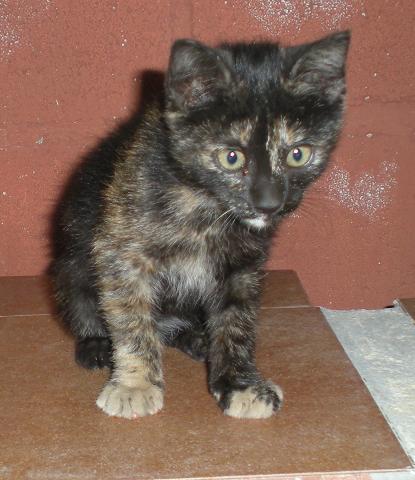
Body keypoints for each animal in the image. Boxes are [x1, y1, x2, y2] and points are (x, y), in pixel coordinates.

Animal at [52, 31, 352, 418]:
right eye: (231, 157)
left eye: (298, 155)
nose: (268, 203)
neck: (205, 205)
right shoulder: (121, 252)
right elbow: (131, 317)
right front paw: (135, 384)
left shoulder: (243, 265)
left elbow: (237, 321)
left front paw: (239, 383)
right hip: (70, 262)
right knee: (85, 300)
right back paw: (96, 344)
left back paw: (196, 338)